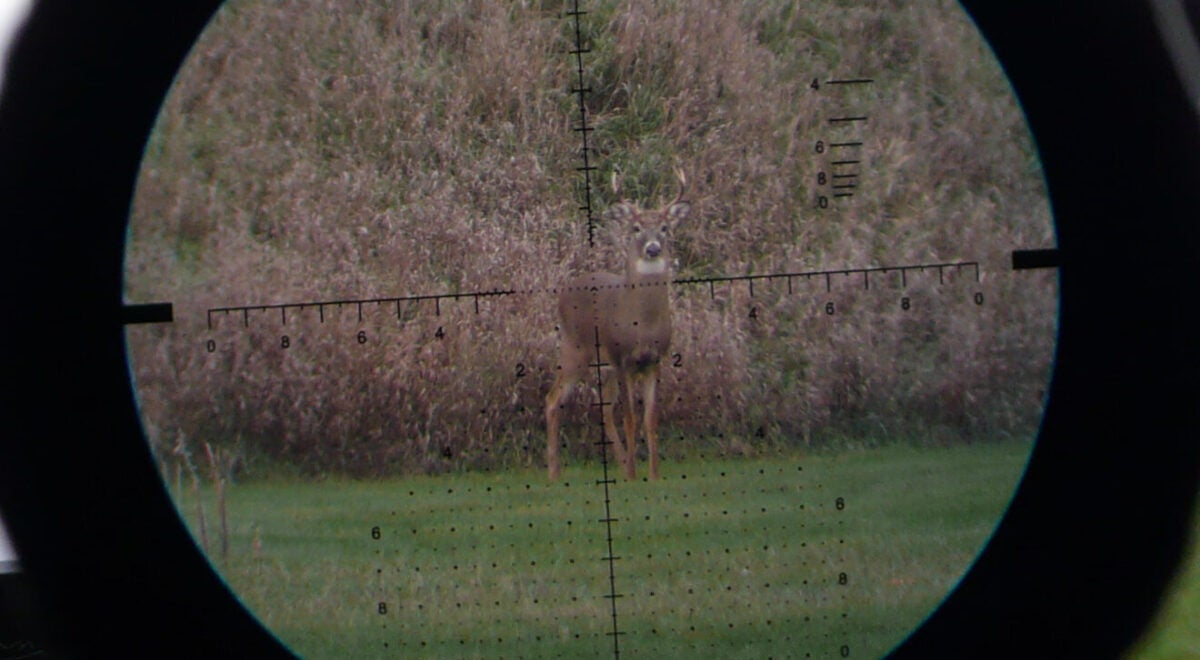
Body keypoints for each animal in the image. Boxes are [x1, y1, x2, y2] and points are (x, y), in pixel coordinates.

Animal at [547, 169, 691, 482]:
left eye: (664, 227)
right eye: (636, 228)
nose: (653, 248)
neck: (642, 324)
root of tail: (564, 291)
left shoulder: (654, 361)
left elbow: (650, 418)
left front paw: (653, 474)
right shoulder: (623, 357)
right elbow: (630, 417)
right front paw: (636, 475)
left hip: (604, 365)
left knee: (603, 407)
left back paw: (621, 463)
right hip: (575, 347)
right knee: (553, 399)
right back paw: (554, 472)